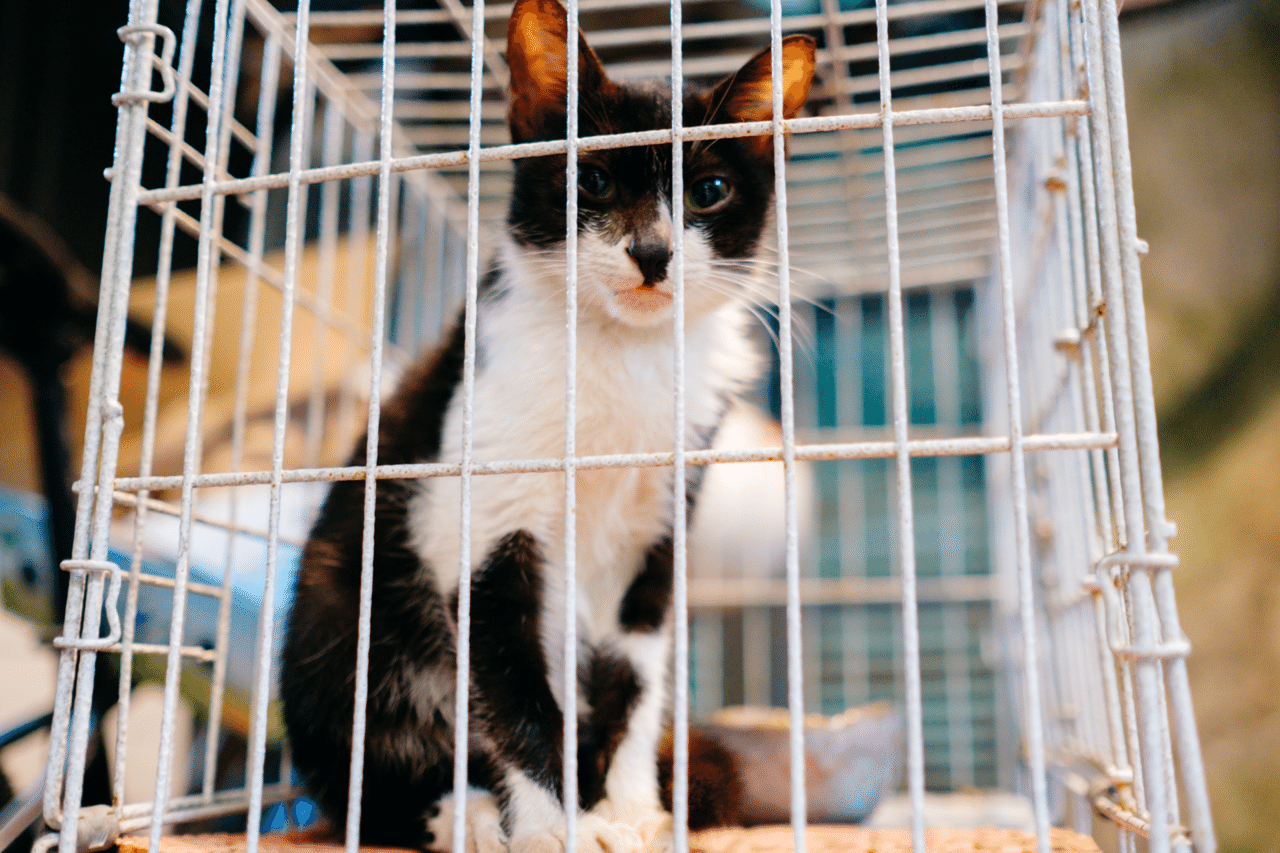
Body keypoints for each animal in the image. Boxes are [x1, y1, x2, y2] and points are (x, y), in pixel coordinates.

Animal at [279, 2, 815, 852]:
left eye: (710, 190)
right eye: (589, 179)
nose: (653, 251)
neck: (620, 356)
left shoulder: (661, 525)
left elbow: (636, 674)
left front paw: (631, 809)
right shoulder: (476, 509)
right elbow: (511, 687)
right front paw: (549, 826)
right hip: (334, 623)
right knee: (361, 770)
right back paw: (457, 811)